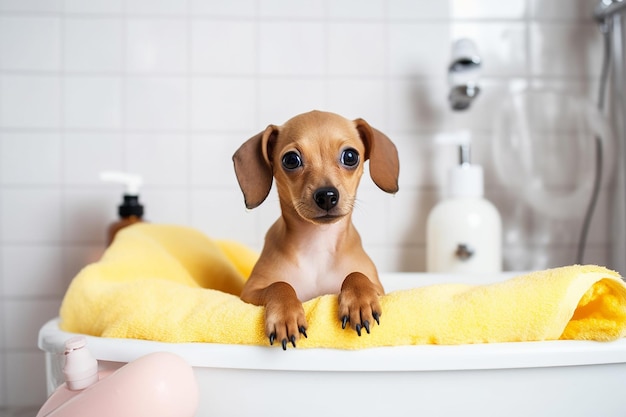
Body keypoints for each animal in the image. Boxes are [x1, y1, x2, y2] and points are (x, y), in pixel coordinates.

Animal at [232, 109, 398, 348]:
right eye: (291, 160)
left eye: (350, 156)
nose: (327, 195)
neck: (317, 245)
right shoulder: (248, 293)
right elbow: (280, 285)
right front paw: (286, 315)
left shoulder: (378, 288)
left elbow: (356, 275)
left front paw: (360, 301)